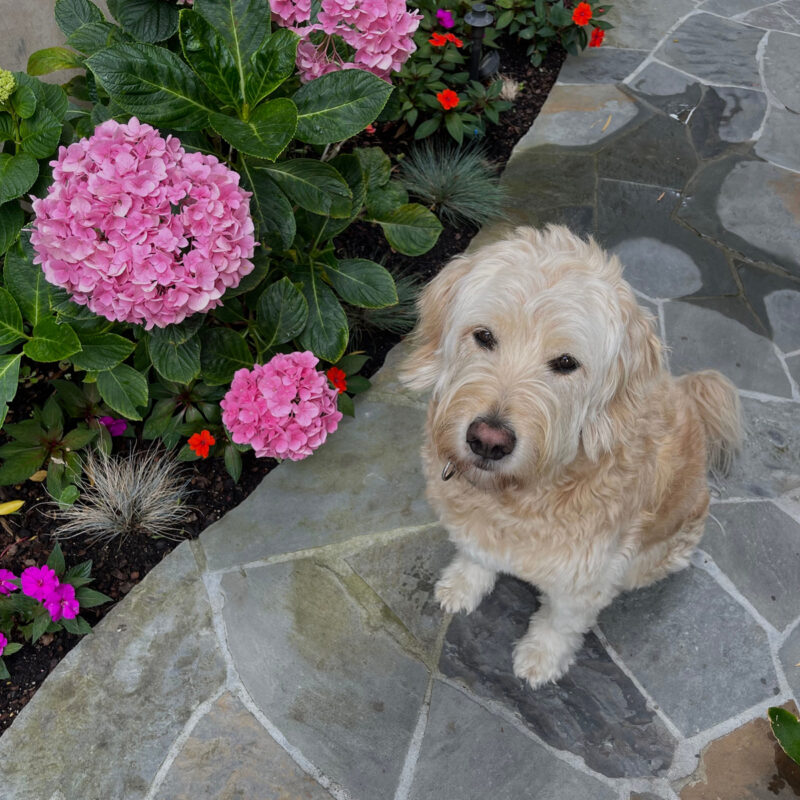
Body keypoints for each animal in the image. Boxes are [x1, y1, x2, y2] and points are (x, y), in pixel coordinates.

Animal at [400, 225, 744, 688]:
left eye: (566, 362)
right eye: (484, 336)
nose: (487, 441)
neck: (519, 496)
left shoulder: (586, 579)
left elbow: (561, 622)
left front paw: (541, 657)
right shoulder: (476, 527)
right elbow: (476, 553)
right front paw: (464, 583)